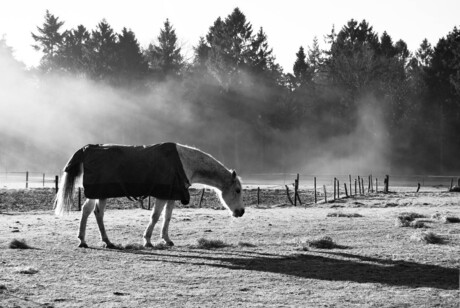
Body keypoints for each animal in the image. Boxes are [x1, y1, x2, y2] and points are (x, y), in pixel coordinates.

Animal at [54, 142, 244, 248]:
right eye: (237, 190)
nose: (241, 212)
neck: (185, 163)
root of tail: (87, 149)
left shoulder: (171, 194)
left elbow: (167, 217)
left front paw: (167, 240)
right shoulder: (162, 195)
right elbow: (155, 216)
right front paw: (147, 240)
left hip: (98, 193)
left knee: (90, 211)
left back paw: (91, 241)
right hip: (100, 193)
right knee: (94, 212)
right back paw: (97, 241)